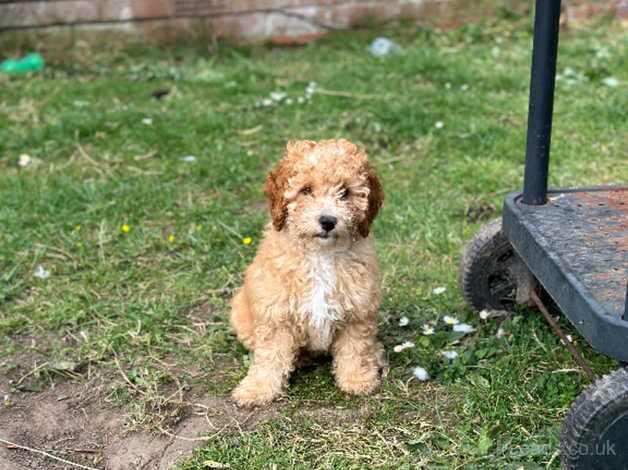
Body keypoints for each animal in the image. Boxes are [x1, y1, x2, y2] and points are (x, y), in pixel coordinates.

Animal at [231, 138, 388, 406]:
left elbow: (356, 349)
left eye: (344, 192)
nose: (328, 221)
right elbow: (269, 356)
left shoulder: (357, 313)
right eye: (306, 190)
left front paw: (358, 379)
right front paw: (257, 389)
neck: (319, 255)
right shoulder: (275, 315)